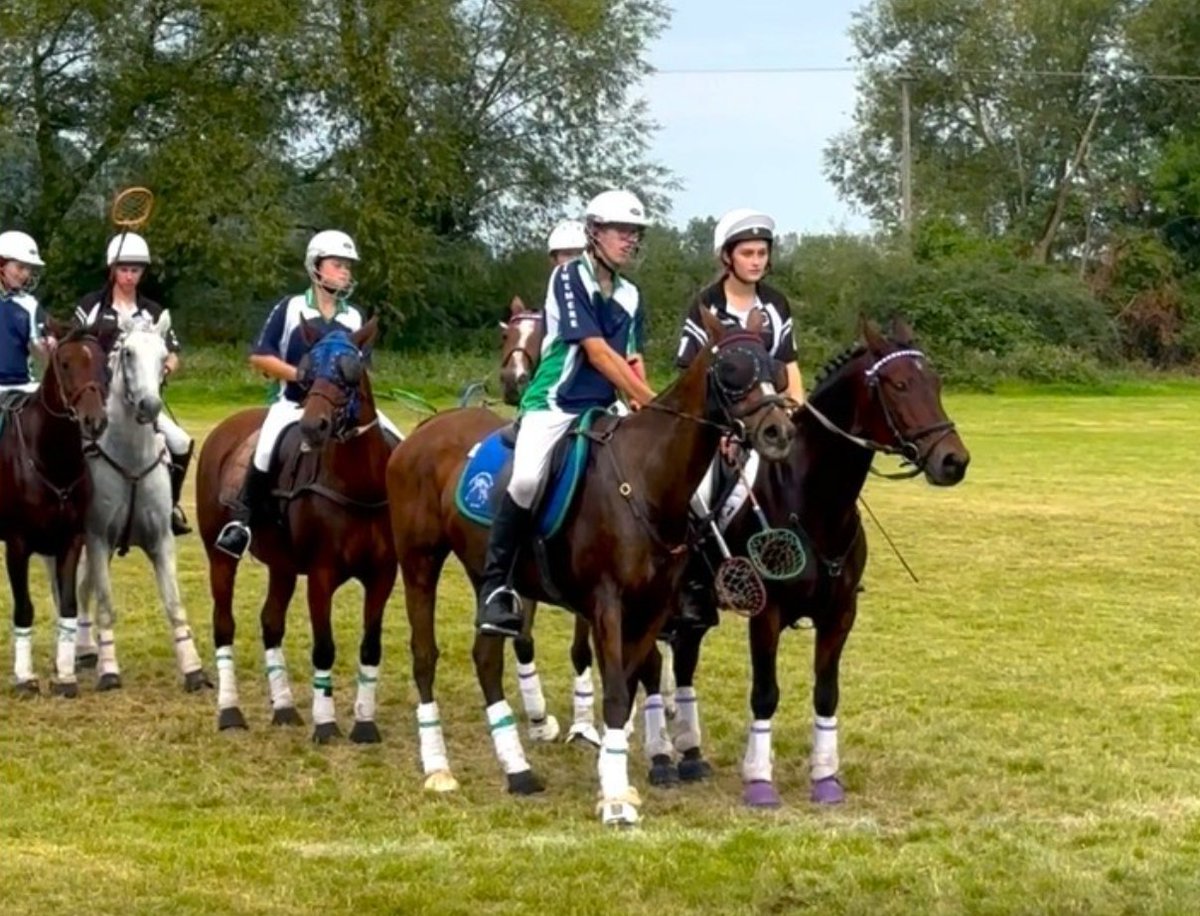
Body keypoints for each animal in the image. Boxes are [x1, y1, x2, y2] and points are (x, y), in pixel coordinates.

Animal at [2, 321, 113, 696]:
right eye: (64, 363)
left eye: (105, 364)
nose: (94, 421)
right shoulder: (17, 544)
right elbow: (23, 608)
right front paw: (25, 677)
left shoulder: (71, 540)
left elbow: (67, 603)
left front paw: (65, 675)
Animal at [64, 312, 210, 691]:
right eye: (127, 352)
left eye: (163, 355)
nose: (150, 406)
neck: (129, 456)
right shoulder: (98, 539)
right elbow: (105, 605)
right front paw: (109, 669)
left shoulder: (161, 540)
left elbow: (174, 604)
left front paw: (193, 669)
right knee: (82, 589)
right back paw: (85, 650)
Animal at [196, 319, 398, 739]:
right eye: (307, 369)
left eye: (349, 369)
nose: (312, 426)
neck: (359, 488)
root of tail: (227, 426)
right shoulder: (321, 574)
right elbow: (324, 648)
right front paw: (326, 724)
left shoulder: (383, 575)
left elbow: (371, 646)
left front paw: (364, 723)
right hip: (219, 556)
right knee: (224, 626)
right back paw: (230, 712)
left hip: (283, 566)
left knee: (271, 623)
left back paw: (285, 707)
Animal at [386, 309, 796, 830]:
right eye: (733, 370)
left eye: (776, 369)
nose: (778, 432)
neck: (646, 478)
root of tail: (427, 426)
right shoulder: (607, 603)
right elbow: (617, 692)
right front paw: (617, 798)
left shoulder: (651, 609)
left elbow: (627, 685)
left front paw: (613, 780)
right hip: (419, 562)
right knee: (424, 655)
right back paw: (438, 767)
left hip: (487, 575)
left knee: (486, 657)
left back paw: (517, 769)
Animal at [672, 319, 969, 806]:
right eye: (899, 385)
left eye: (936, 383)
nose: (953, 460)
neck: (815, 501)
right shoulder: (767, 613)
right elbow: (765, 694)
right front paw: (759, 780)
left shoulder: (840, 614)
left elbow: (827, 694)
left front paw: (826, 777)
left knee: (682, 661)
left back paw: (689, 750)